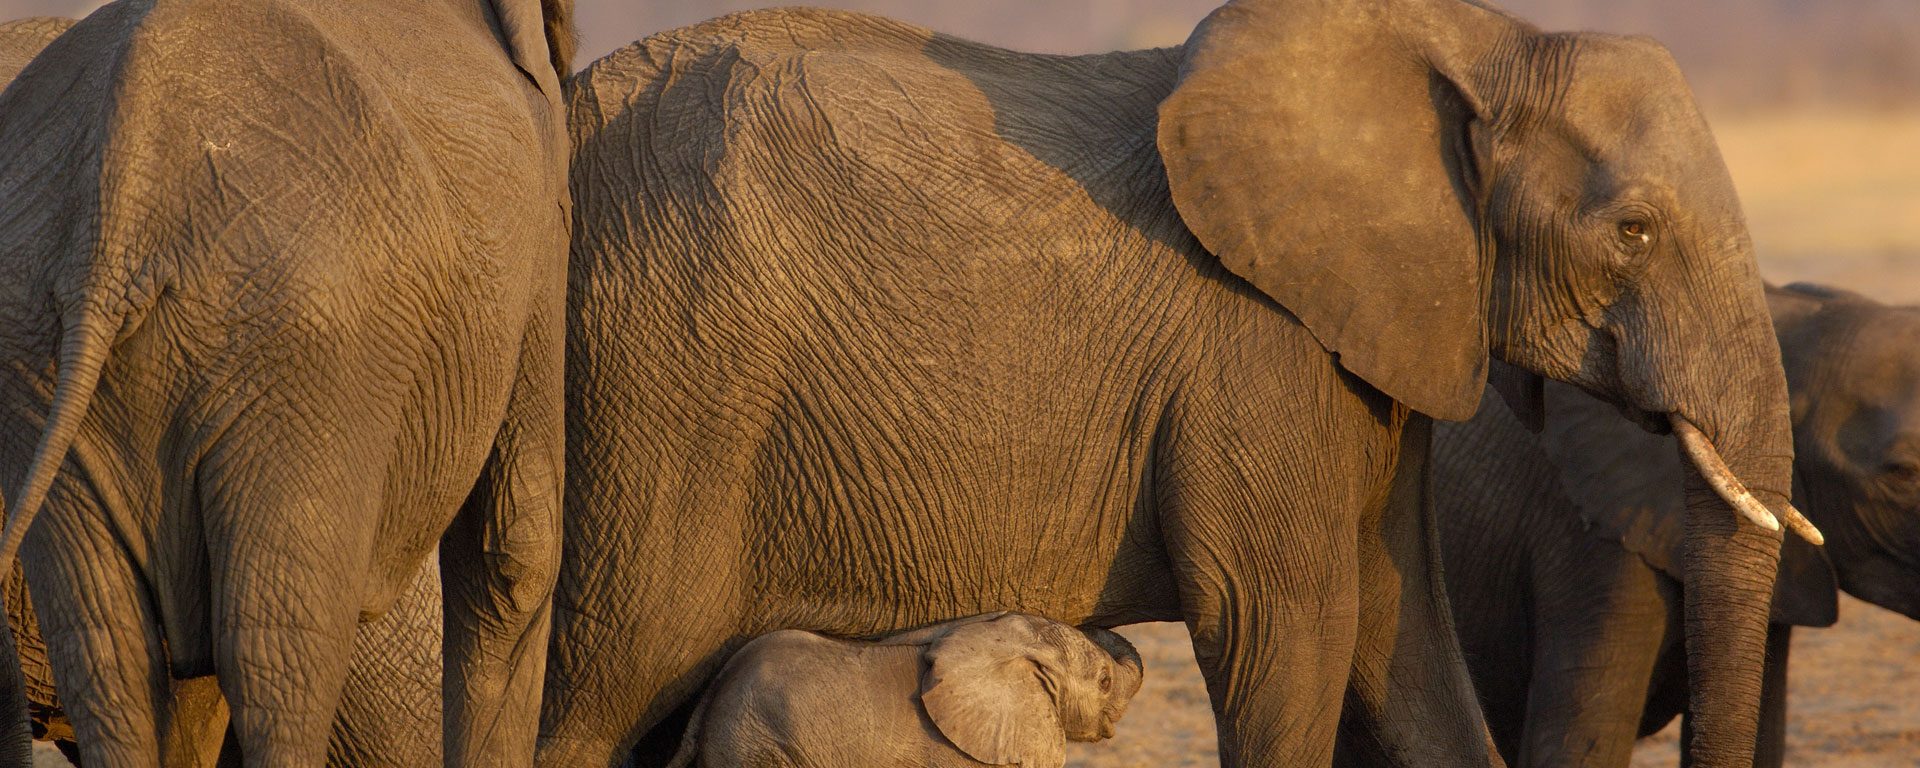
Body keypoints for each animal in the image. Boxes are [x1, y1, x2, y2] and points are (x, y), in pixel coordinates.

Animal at [0, 0, 572, 760]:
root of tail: (122, 198)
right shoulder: (540, 219)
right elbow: (515, 547)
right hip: (314, 359)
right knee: (276, 649)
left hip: (41, 348)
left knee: (114, 651)